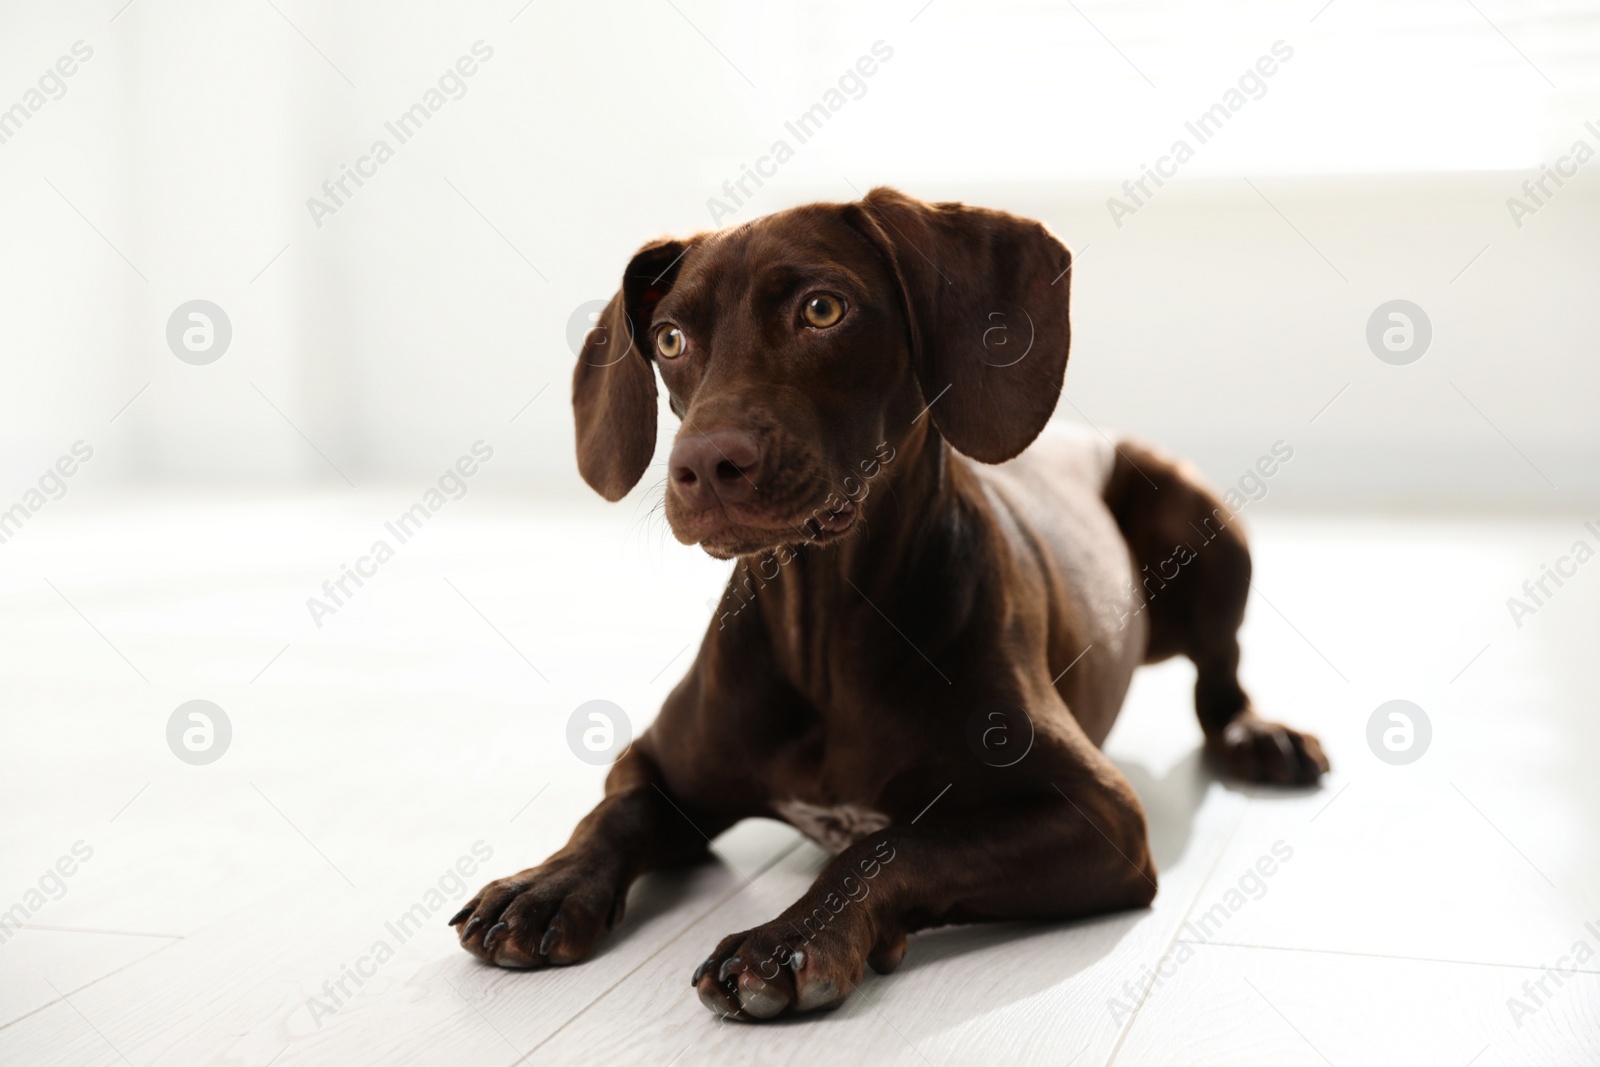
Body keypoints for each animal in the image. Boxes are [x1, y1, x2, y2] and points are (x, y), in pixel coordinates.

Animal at [448, 187, 1324, 1023]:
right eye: (668, 340)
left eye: (822, 310)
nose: (703, 463)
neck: (823, 622)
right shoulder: (657, 765)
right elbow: (613, 815)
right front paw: (547, 884)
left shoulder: (1100, 815)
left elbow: (896, 845)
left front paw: (793, 936)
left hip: (1201, 520)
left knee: (1221, 676)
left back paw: (1260, 735)